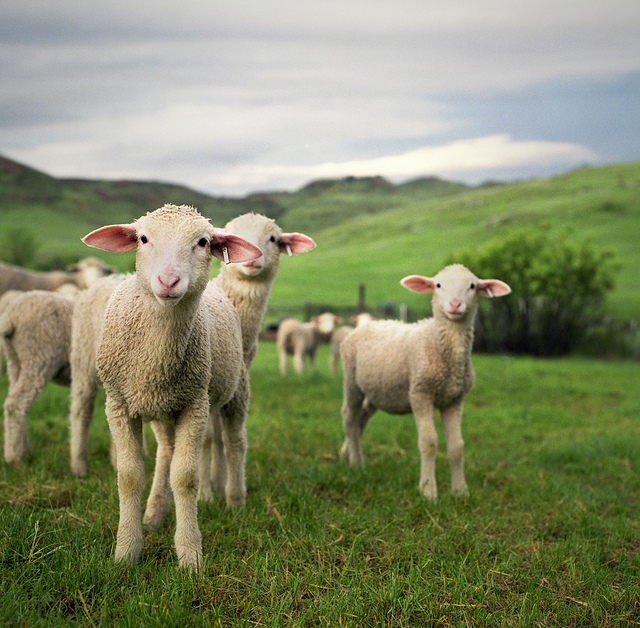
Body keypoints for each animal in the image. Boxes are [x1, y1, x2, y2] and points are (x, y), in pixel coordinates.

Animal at [81, 204, 261, 570]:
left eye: (203, 241)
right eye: (143, 238)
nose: (168, 281)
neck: (154, 359)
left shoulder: (195, 403)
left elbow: (185, 478)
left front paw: (190, 555)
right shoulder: (118, 404)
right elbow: (129, 476)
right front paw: (126, 552)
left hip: (235, 390)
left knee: (235, 442)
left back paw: (235, 500)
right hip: (162, 409)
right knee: (165, 450)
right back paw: (155, 512)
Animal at [201, 212, 315, 500]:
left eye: (273, 238)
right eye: (235, 236)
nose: (252, 258)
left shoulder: (230, 378)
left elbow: (221, 436)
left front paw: (220, 484)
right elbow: (207, 438)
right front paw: (206, 493)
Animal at [339, 264, 511, 500]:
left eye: (472, 286)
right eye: (438, 285)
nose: (455, 304)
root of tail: (365, 325)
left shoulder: (454, 400)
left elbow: (457, 446)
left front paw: (460, 492)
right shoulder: (420, 393)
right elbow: (429, 442)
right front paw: (428, 492)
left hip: (376, 390)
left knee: (361, 419)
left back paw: (348, 455)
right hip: (351, 381)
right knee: (349, 418)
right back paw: (356, 463)